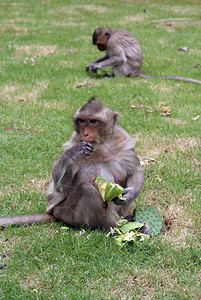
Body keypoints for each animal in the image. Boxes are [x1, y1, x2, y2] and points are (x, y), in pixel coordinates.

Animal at [0, 98, 144, 230]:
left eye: (93, 121)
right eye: (82, 121)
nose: (85, 133)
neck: (99, 150)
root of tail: (53, 213)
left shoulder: (124, 143)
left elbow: (136, 170)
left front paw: (130, 194)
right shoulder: (72, 142)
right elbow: (60, 187)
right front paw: (71, 154)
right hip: (65, 213)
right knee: (86, 190)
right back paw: (115, 227)